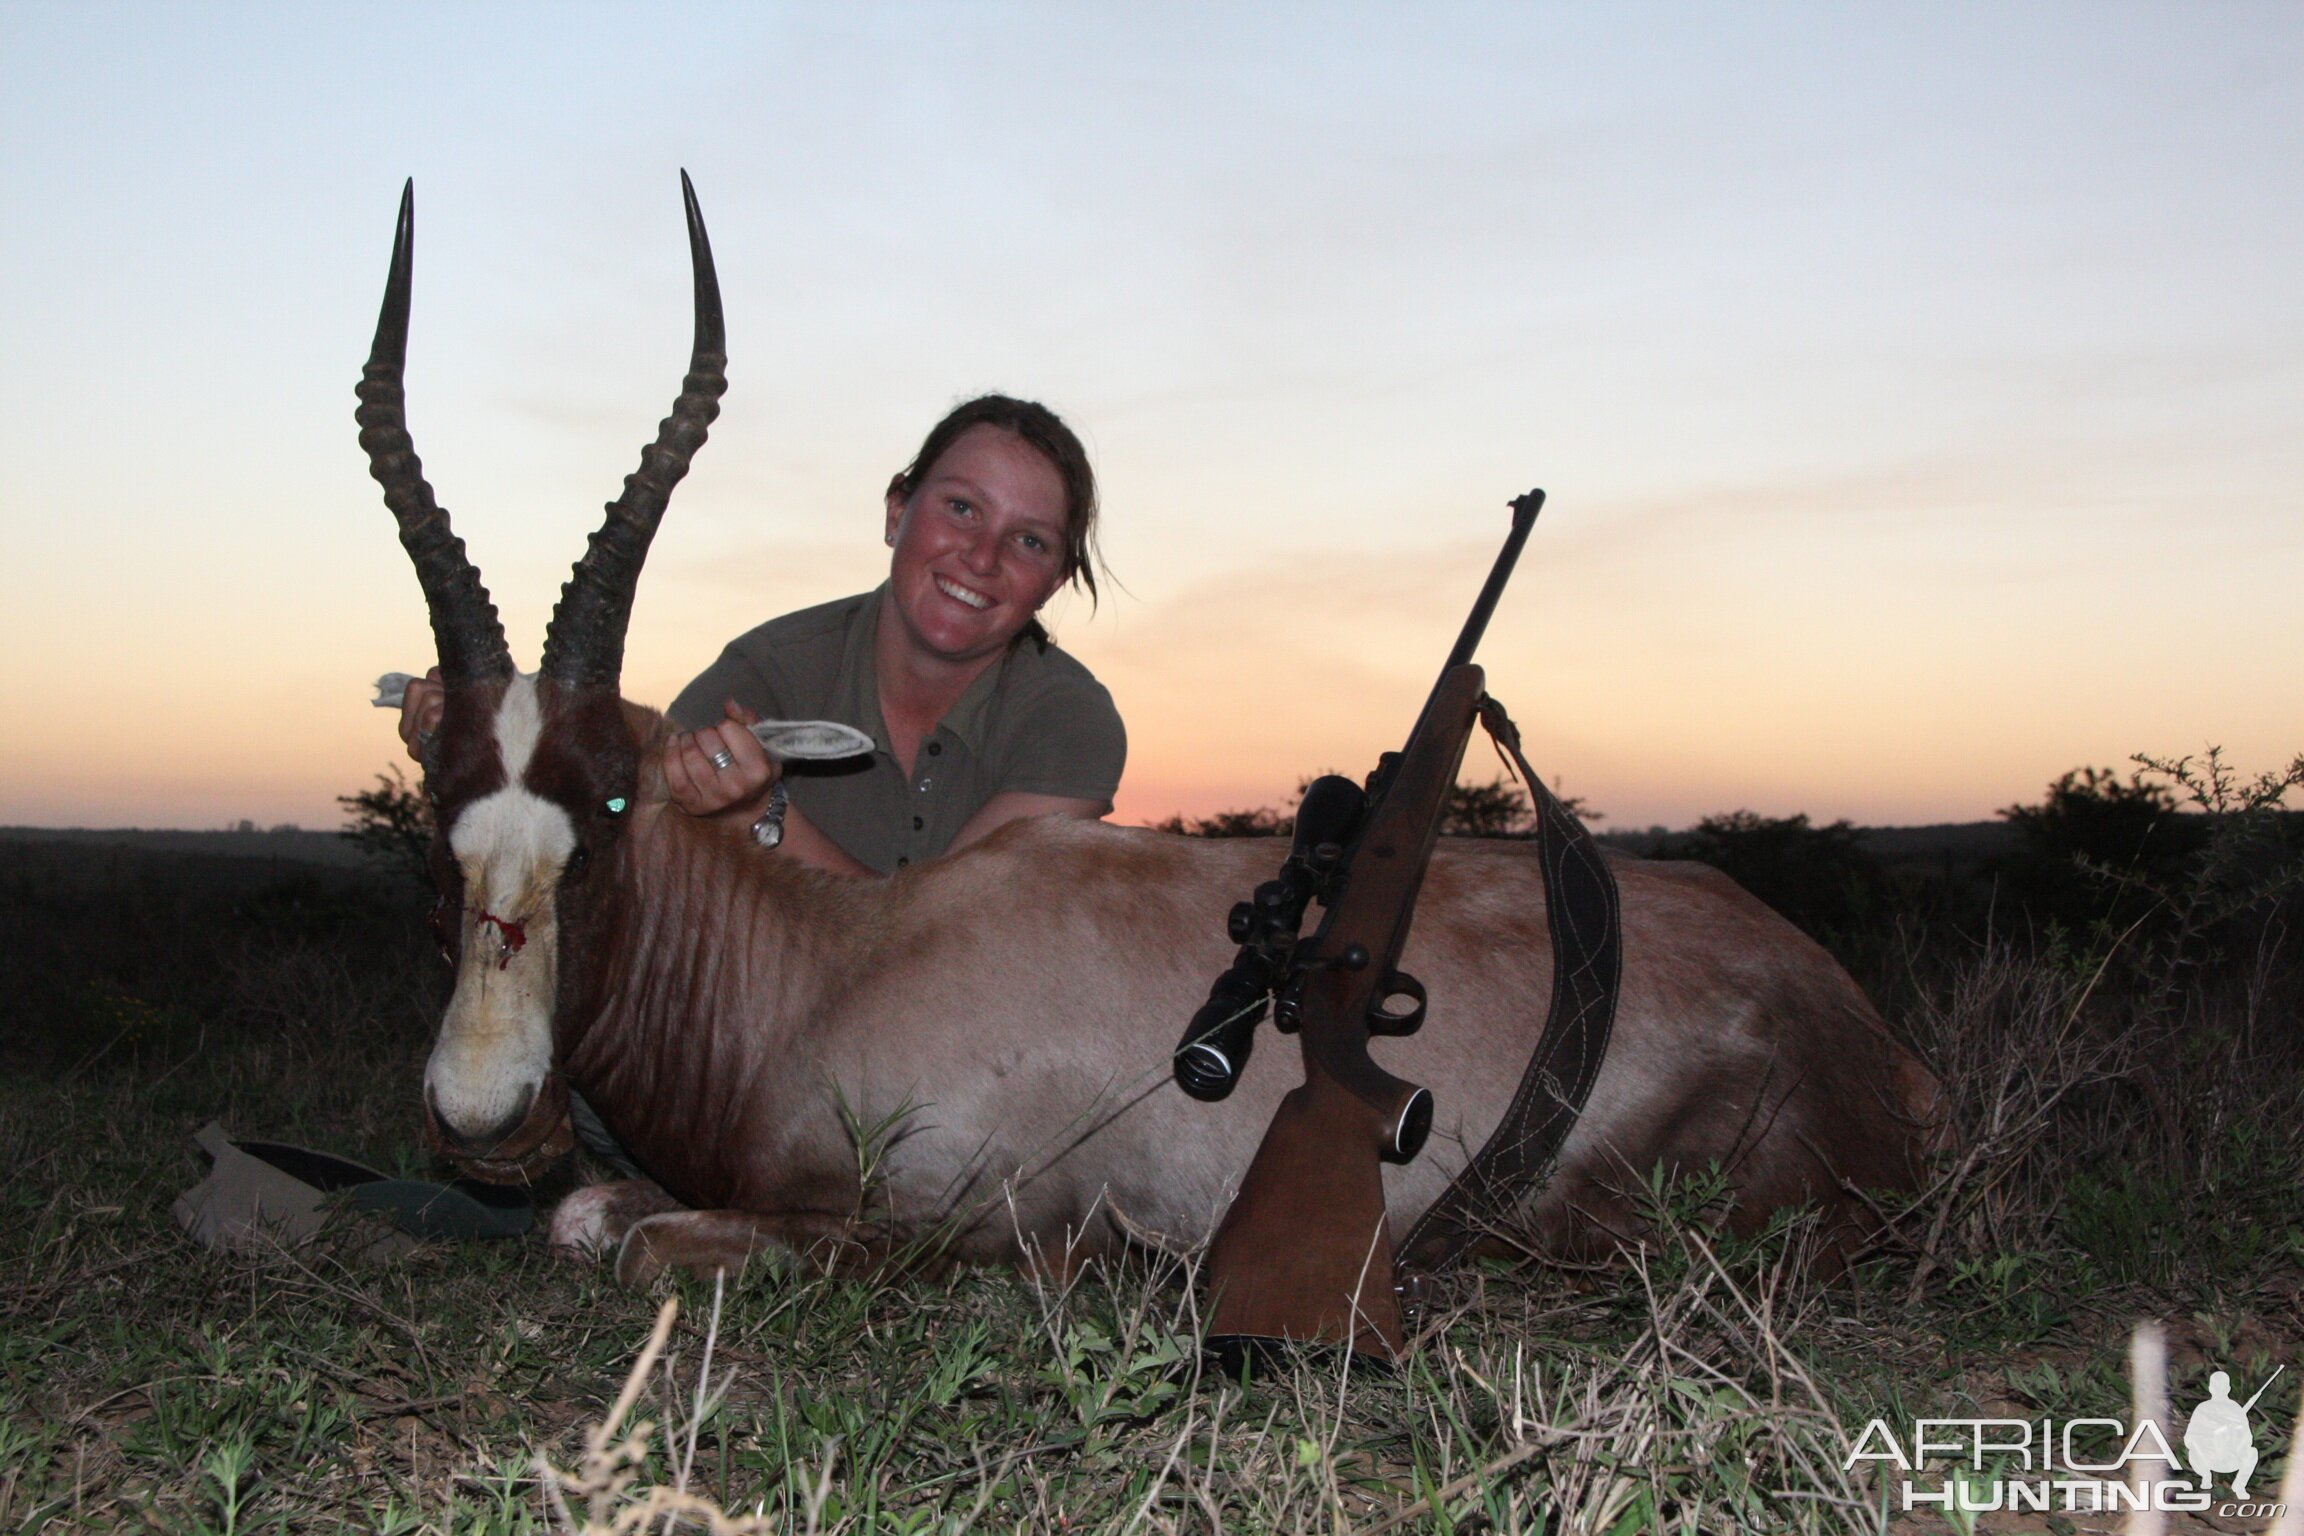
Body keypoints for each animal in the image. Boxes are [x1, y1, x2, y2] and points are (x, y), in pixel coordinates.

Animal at [364, 173, 1944, 1289]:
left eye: (610, 804)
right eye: (441, 812)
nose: (484, 1116)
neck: (823, 968)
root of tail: (1871, 1040)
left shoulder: (956, 1221)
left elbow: (640, 1243)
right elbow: (588, 1214)